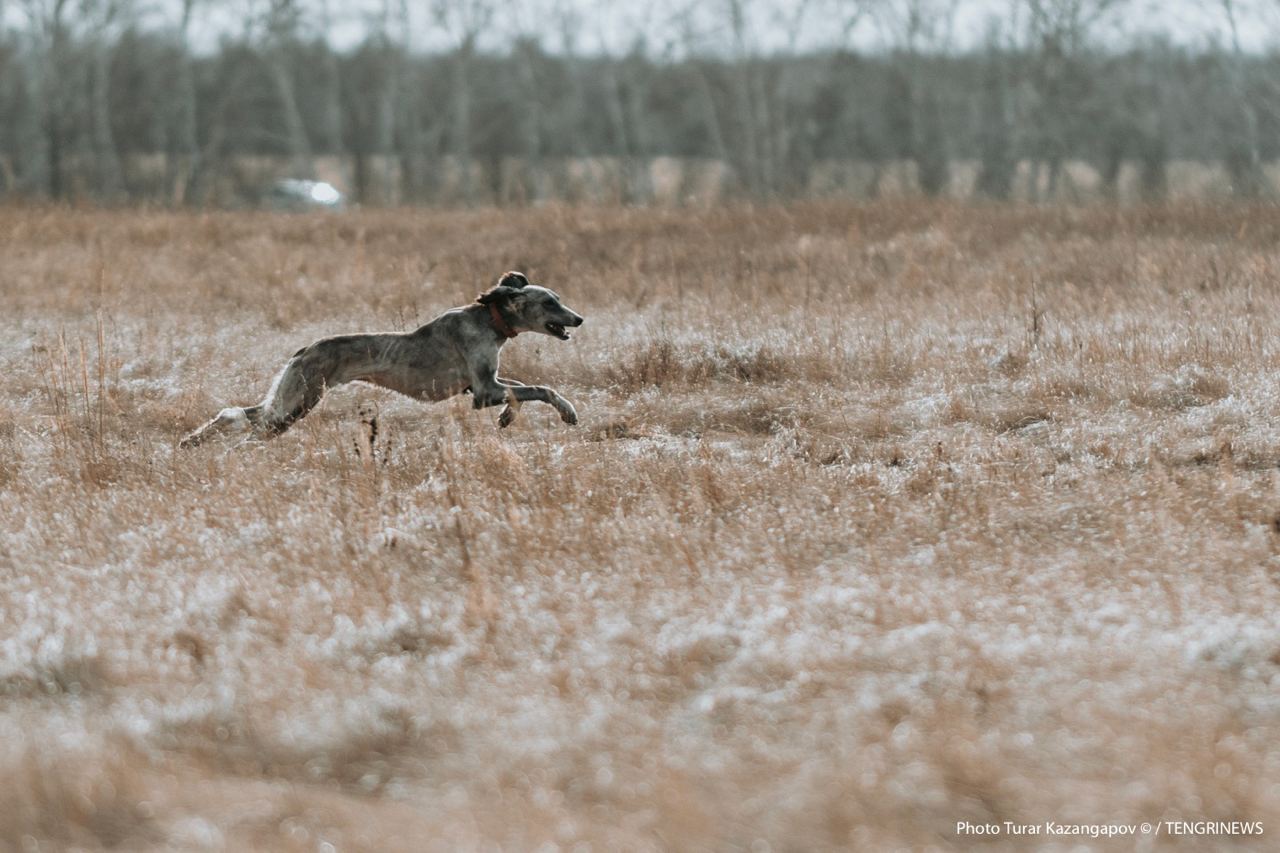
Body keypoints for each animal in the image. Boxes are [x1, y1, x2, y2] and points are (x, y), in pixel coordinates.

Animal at [177, 270, 583, 445]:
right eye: (550, 302)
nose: (579, 319)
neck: (489, 318)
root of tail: (305, 348)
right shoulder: (483, 389)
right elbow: (540, 389)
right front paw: (568, 411)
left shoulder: (479, 386)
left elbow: (520, 389)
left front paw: (508, 416)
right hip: (297, 403)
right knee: (249, 426)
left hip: (289, 399)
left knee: (235, 413)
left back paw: (192, 441)